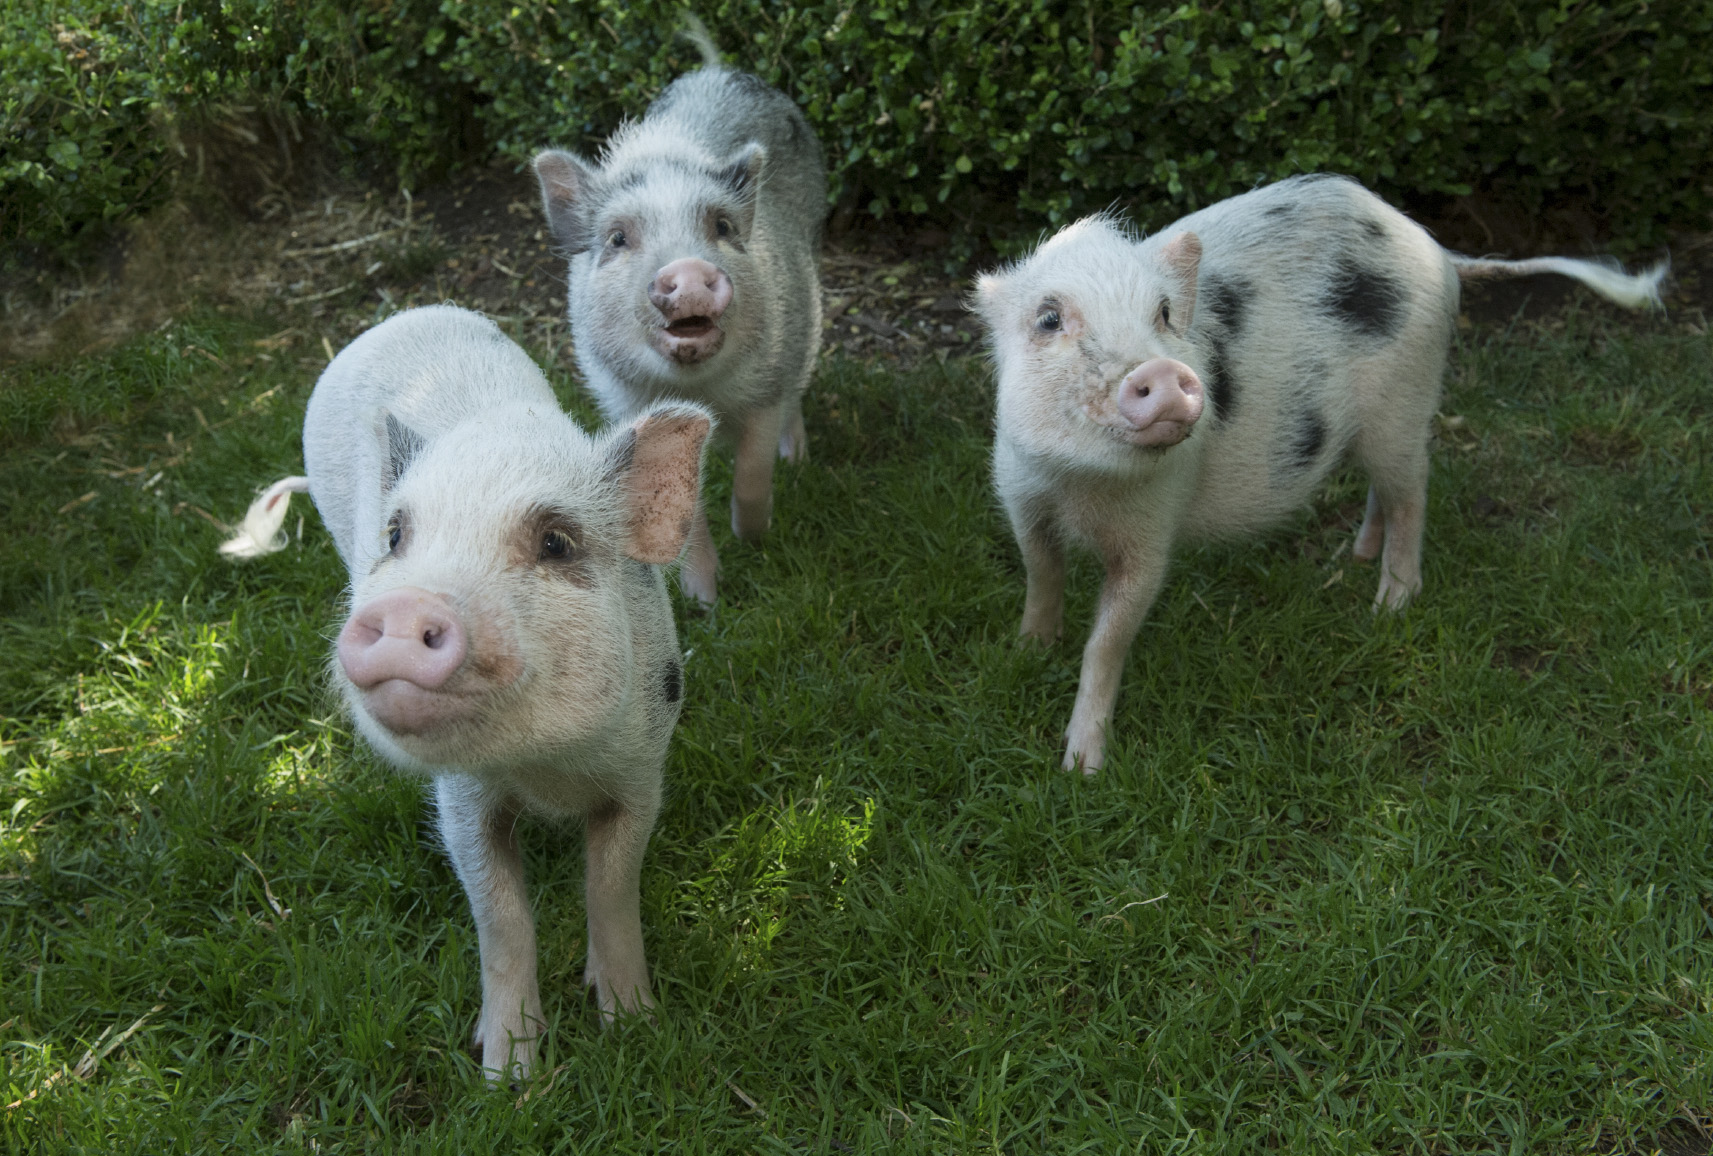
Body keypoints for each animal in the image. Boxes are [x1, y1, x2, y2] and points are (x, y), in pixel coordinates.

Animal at [220, 305, 713, 1082]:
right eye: (397, 535)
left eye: (555, 542)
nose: (403, 607)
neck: (547, 769)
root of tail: (402, 318)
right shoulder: (461, 799)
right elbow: (501, 918)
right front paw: (508, 1078)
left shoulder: (642, 773)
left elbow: (611, 889)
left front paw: (635, 1027)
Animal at [532, 22, 826, 605]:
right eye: (617, 238)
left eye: (723, 227)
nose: (688, 269)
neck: (703, 394)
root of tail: (716, 69)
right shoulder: (625, 401)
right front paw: (704, 603)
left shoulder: (765, 384)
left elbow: (753, 470)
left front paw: (754, 538)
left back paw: (797, 459)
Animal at [974, 174, 1666, 773]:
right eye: (1048, 319)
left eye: (1164, 314)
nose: (1164, 372)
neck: (1081, 485)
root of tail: (1435, 248)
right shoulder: (1020, 493)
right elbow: (1041, 572)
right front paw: (1025, 651)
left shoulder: (1151, 532)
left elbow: (1108, 639)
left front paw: (1081, 770)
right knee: (1384, 492)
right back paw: (1352, 558)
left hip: (1405, 405)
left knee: (1413, 493)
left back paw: (1389, 604)